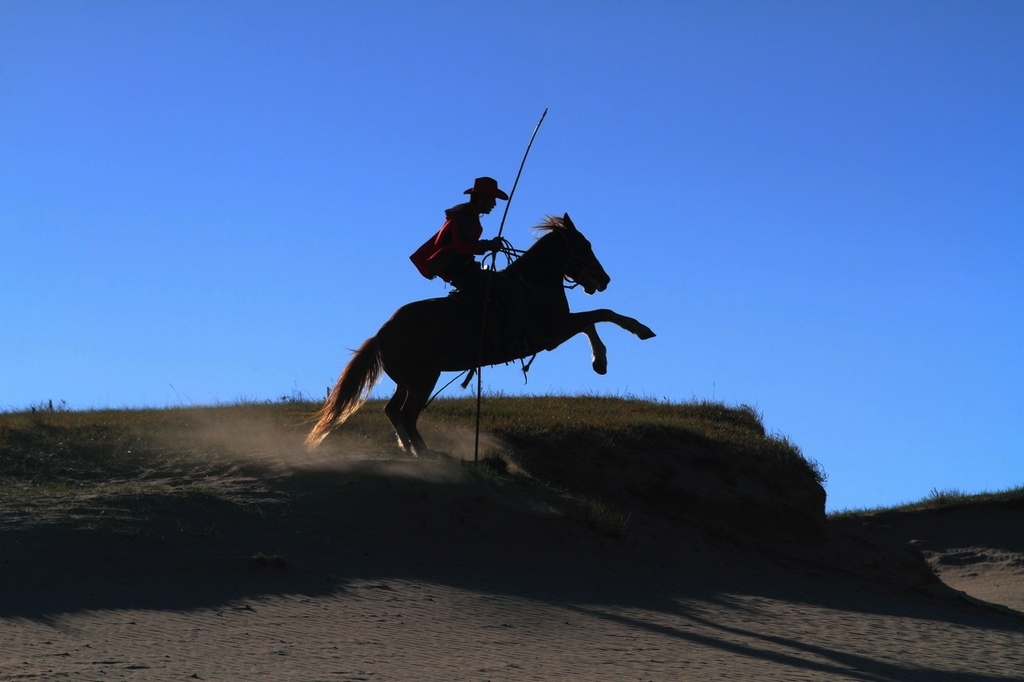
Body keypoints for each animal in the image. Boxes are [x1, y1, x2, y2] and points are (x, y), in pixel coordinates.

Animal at [305, 212, 655, 454]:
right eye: (584, 246)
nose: (604, 279)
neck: (534, 283)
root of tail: (382, 334)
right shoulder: (552, 333)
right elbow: (600, 315)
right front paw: (635, 333)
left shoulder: (559, 329)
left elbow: (591, 322)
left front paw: (601, 361)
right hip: (423, 379)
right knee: (406, 414)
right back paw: (424, 452)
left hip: (408, 381)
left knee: (394, 411)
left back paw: (412, 449)